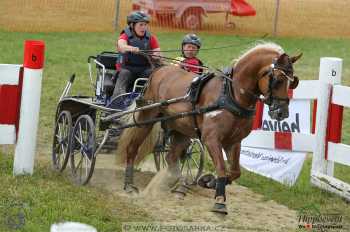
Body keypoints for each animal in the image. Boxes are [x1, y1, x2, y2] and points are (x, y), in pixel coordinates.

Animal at [116, 43, 302, 214]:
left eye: (293, 82)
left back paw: (179, 185)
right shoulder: (211, 139)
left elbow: (235, 172)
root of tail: (158, 70)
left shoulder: (234, 142)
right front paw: (219, 201)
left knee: (170, 158)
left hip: (181, 131)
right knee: (132, 148)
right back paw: (129, 185)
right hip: (146, 119)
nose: (282, 112)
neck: (231, 94)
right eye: (278, 80)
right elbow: (221, 169)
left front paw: (208, 181)